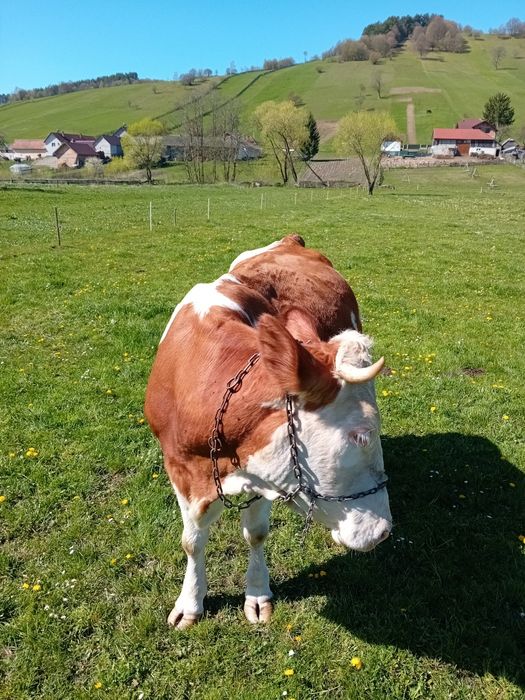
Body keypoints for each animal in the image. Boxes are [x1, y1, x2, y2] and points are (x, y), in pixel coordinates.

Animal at [145, 234, 391, 629]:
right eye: (361, 436)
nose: (383, 533)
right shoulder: (180, 468)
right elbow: (192, 541)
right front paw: (190, 602)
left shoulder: (267, 471)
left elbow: (256, 533)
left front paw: (258, 594)